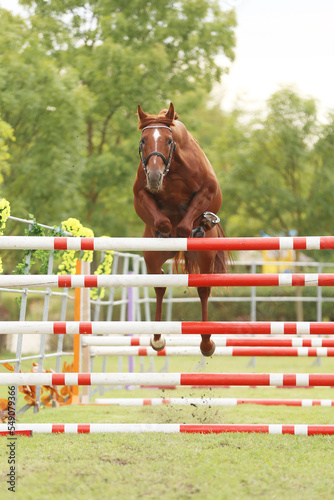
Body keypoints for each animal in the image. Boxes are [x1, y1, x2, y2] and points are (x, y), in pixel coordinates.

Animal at [132, 103, 228, 358]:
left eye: (168, 140)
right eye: (143, 140)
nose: (154, 177)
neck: (172, 168)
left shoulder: (209, 190)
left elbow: (186, 223)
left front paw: (195, 227)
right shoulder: (141, 194)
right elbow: (162, 220)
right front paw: (165, 231)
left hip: (205, 257)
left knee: (203, 290)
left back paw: (206, 343)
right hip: (151, 258)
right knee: (159, 286)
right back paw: (157, 339)